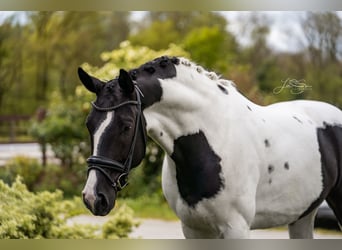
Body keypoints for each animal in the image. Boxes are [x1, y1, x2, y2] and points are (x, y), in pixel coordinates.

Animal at [78, 56, 342, 238]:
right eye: (89, 124)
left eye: (126, 125)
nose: (93, 197)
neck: (210, 142)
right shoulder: (193, 229)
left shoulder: (236, 228)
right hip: (302, 215)